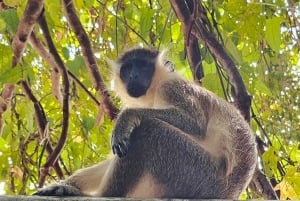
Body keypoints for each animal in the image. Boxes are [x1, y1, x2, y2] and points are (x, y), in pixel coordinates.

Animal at [34, 46, 256, 199]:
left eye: (142, 66)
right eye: (127, 69)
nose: (133, 75)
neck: (154, 89)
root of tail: (230, 192)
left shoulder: (173, 86)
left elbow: (195, 124)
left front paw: (126, 118)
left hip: (198, 174)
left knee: (148, 130)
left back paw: (102, 195)